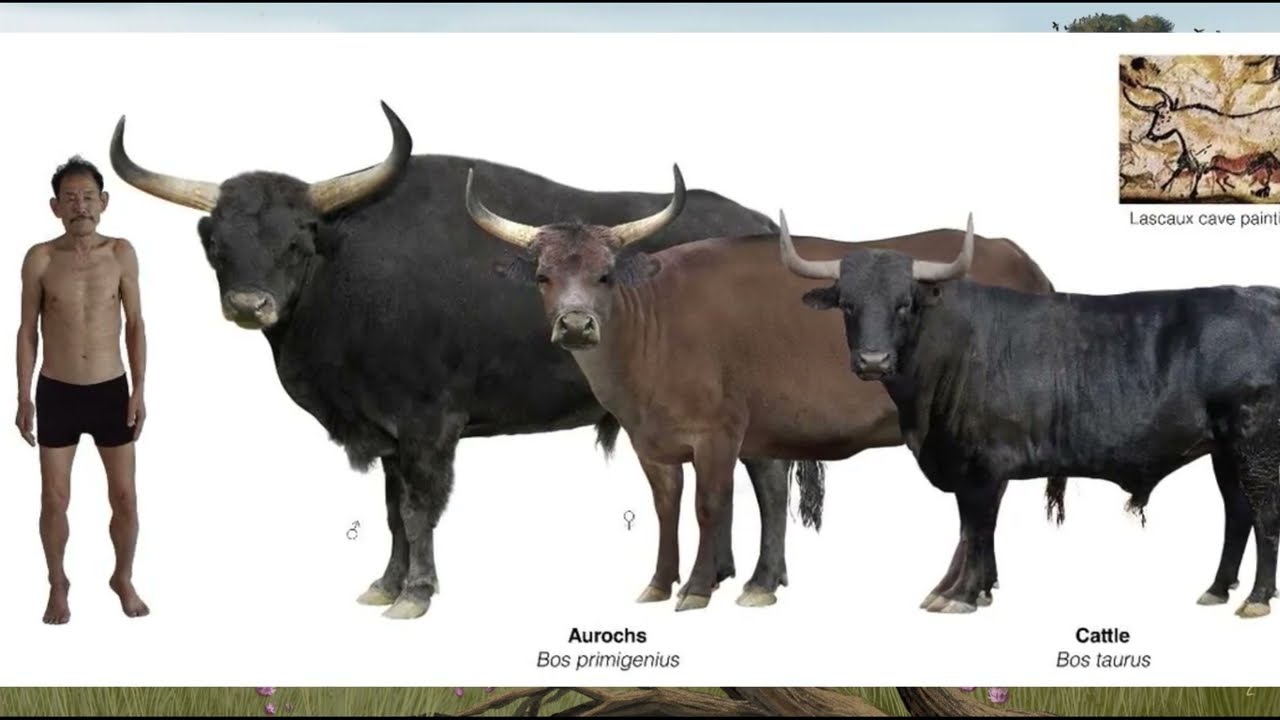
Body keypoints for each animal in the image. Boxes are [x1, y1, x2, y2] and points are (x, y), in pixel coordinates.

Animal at [106, 101, 828, 620]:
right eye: (216, 243)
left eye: (297, 239)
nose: (249, 304)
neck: (348, 268)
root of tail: (764, 229)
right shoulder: (390, 435)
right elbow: (393, 511)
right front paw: (385, 583)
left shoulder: (429, 427)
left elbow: (419, 507)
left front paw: (415, 595)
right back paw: (728, 577)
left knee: (768, 480)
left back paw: (758, 582)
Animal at [463, 163, 1070, 611]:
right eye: (544, 277)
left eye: (604, 275)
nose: (575, 324)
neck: (652, 329)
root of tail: (1016, 255)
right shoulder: (657, 441)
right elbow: (675, 505)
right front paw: (668, 583)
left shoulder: (718, 433)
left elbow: (712, 504)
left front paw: (698, 589)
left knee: (981, 497)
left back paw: (958, 591)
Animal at [781, 213, 1280, 619]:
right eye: (848, 304)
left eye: (904, 303)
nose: (873, 360)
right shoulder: (975, 467)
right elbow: (977, 530)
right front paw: (979, 591)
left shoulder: (980, 467)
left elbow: (976, 527)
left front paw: (961, 596)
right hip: (1224, 450)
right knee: (1237, 512)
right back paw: (1218, 589)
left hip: (1256, 447)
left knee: (1264, 513)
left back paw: (1256, 599)